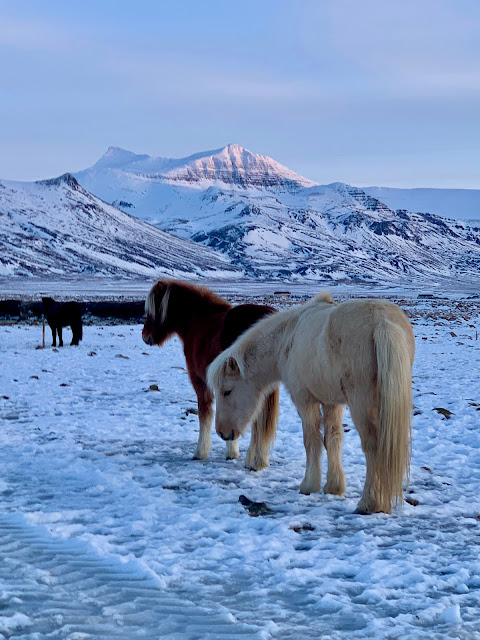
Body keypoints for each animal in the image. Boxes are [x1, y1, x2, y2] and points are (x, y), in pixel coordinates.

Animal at [141, 280, 280, 470]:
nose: (145, 336)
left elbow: (204, 413)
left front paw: (202, 452)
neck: (198, 322)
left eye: (152, 310)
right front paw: (232, 451)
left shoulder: (200, 381)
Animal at [208, 292, 414, 512]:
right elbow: (333, 438)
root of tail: (383, 322)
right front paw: (334, 487)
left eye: (227, 391)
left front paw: (309, 485)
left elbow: (311, 439)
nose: (223, 432)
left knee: (373, 446)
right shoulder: (332, 402)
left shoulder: (305, 401)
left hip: (362, 404)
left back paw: (370, 502)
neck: (288, 336)